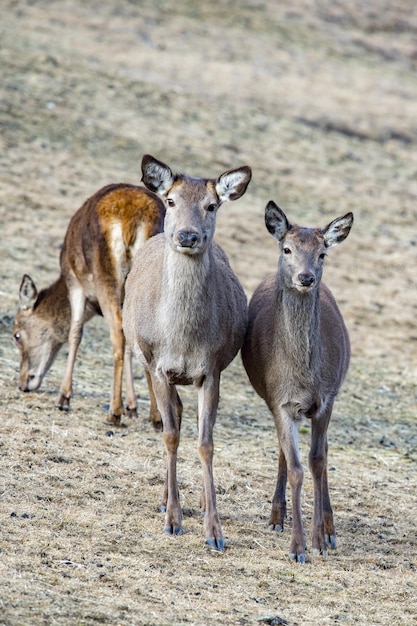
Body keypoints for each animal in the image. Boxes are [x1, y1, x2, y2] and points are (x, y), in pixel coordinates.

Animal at [12, 179, 166, 424]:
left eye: (16, 335)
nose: (23, 383)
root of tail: (134, 220)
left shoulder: (75, 282)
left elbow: (75, 332)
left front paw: (63, 397)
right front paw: (133, 407)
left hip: (105, 276)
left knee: (117, 334)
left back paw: (114, 412)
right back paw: (156, 416)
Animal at [122, 154, 252, 548]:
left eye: (211, 205)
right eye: (170, 201)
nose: (187, 235)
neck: (182, 339)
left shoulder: (211, 370)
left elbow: (206, 443)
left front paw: (215, 531)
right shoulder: (159, 366)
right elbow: (170, 435)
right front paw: (173, 520)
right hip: (146, 360)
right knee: (173, 420)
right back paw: (166, 499)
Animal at [239, 200, 352, 560]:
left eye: (322, 253)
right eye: (287, 248)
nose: (306, 277)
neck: (303, 376)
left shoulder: (326, 398)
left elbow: (318, 461)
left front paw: (319, 539)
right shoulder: (279, 401)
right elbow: (297, 468)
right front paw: (297, 547)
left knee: (323, 451)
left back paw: (329, 528)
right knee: (285, 454)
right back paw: (277, 517)